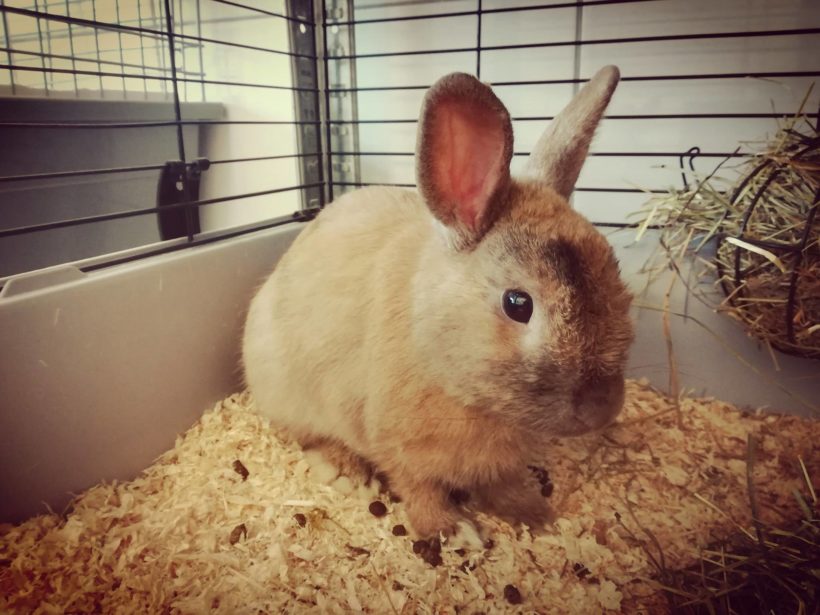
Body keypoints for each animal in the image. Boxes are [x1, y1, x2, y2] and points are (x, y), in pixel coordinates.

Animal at [242, 65, 634, 538]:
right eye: (517, 303)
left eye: (615, 272)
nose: (603, 408)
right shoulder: (395, 446)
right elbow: (420, 490)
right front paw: (453, 531)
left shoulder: (498, 464)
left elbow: (503, 485)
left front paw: (536, 516)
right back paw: (346, 472)